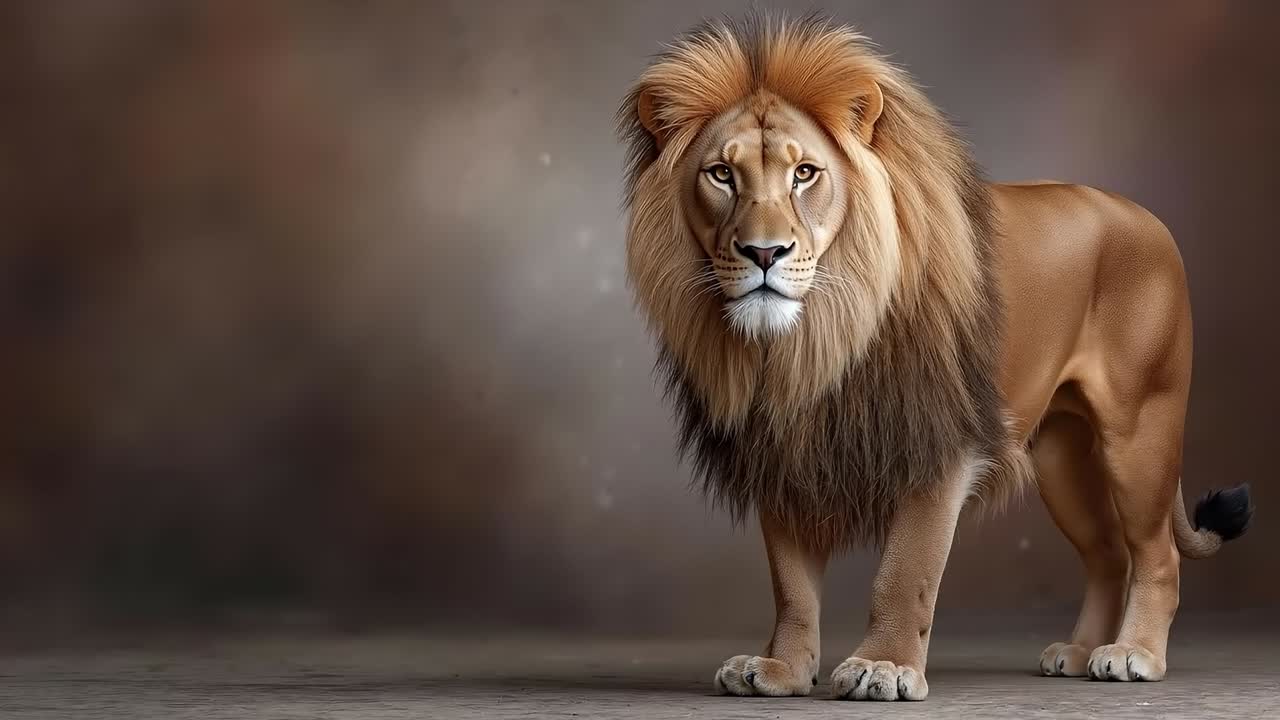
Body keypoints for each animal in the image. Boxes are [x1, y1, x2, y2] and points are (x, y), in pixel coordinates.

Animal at [617, 13, 1253, 701]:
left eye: (805, 174)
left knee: (1156, 552)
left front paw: (884, 666)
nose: (766, 253)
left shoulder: (939, 442)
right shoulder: (786, 447)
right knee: (1108, 551)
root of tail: (1145, 217)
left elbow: (906, 570)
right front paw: (782, 670)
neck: (811, 343)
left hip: (1141, 428)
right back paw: (1082, 651)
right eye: (721, 175)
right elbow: (791, 584)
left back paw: (1133, 654)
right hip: (1061, 455)